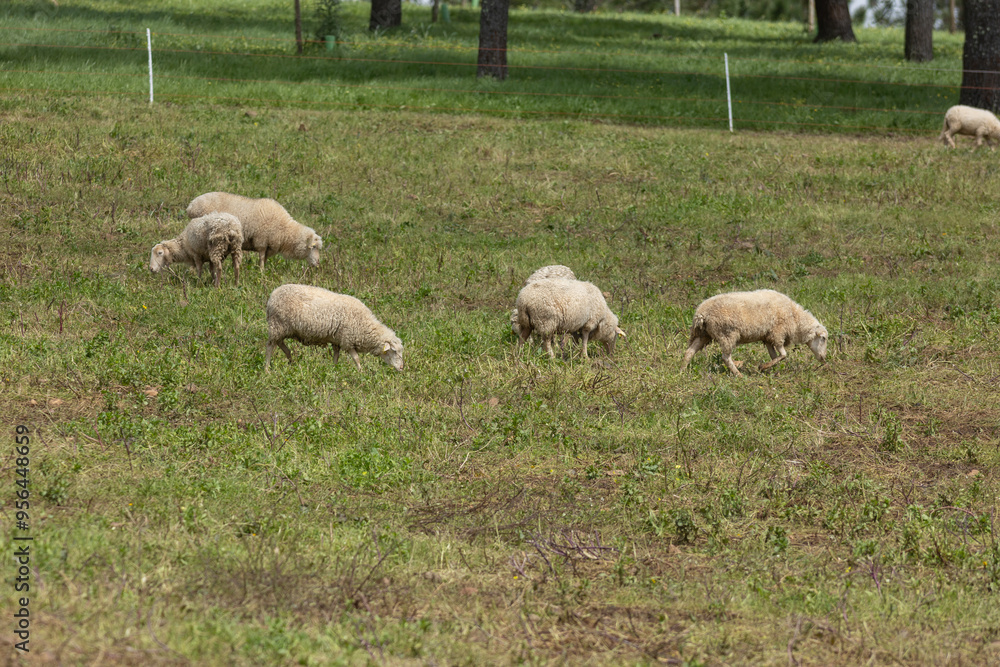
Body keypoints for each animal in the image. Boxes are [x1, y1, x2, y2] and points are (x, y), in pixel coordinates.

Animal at [186, 192, 323, 271]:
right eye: (313, 247)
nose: (318, 263)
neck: (285, 230)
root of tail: (191, 206)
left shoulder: (269, 246)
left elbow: (264, 259)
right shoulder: (262, 241)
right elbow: (261, 258)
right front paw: (261, 272)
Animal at [264, 284, 403, 372]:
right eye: (394, 351)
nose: (402, 368)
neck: (364, 325)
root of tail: (272, 295)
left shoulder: (337, 340)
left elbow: (336, 356)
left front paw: (334, 370)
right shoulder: (348, 340)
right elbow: (356, 359)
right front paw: (361, 373)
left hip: (282, 328)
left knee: (279, 343)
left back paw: (290, 359)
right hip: (277, 324)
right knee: (270, 346)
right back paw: (267, 369)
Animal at [682, 289, 827, 377]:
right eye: (824, 338)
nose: (824, 358)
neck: (795, 318)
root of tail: (701, 313)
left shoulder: (768, 337)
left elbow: (775, 356)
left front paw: (772, 371)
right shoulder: (778, 333)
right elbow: (784, 355)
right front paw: (763, 367)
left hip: (703, 335)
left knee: (689, 352)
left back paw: (683, 371)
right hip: (726, 334)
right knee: (726, 357)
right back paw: (738, 374)